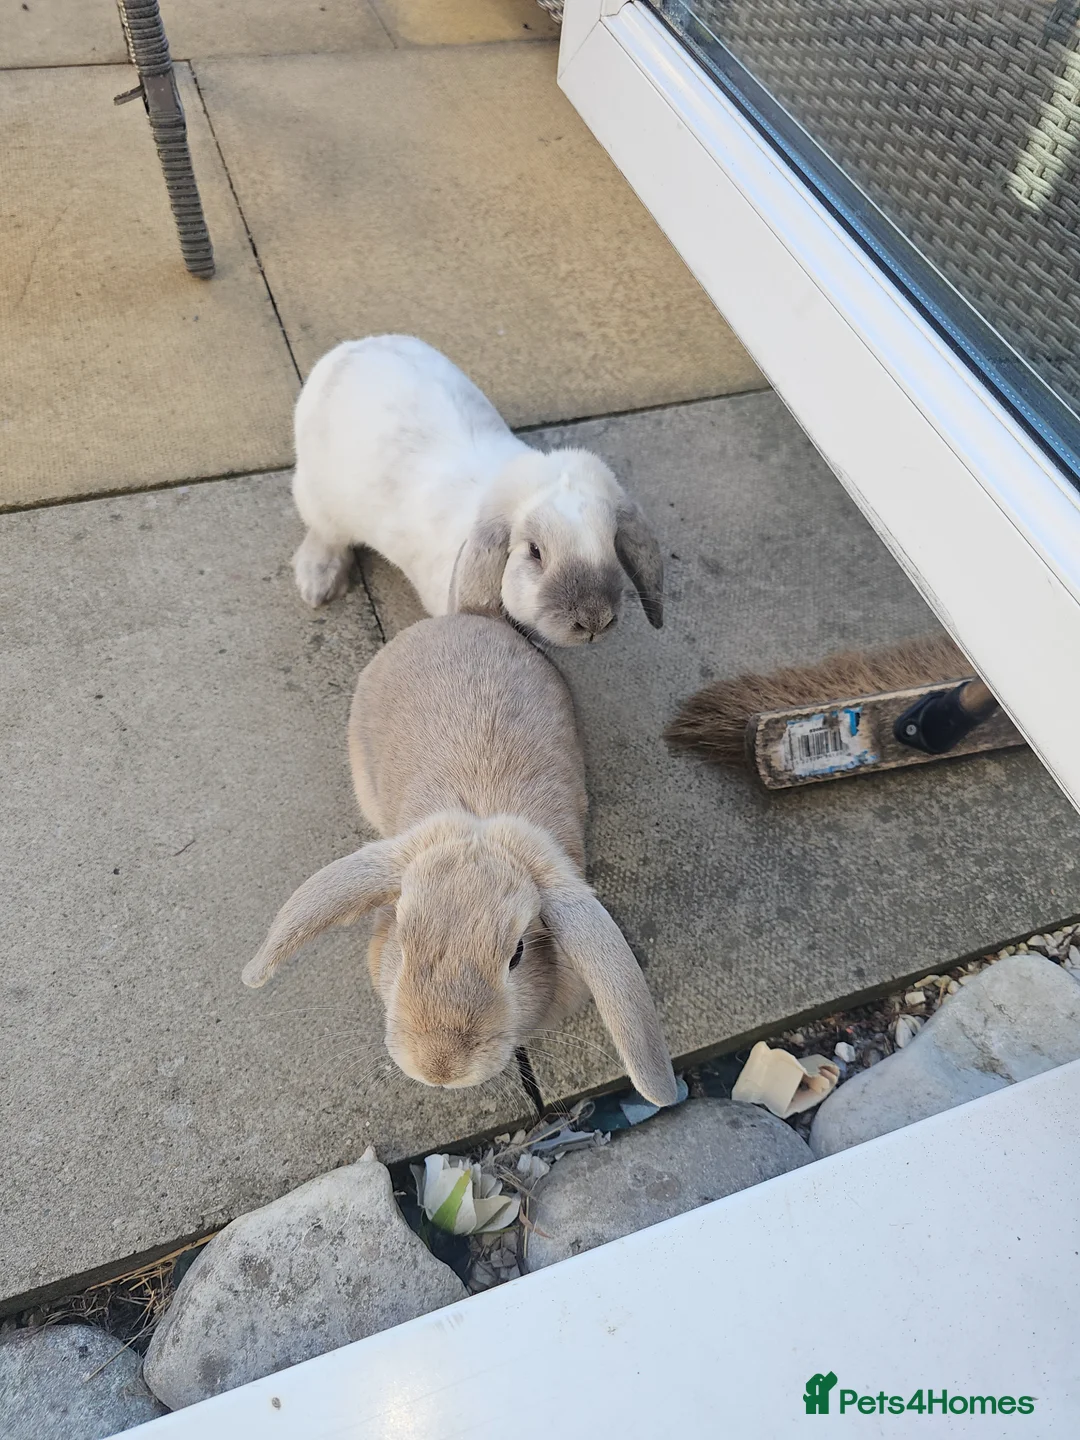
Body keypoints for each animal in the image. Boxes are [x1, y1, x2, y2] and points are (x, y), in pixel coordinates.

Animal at [291, 335, 664, 646]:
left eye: (612, 542)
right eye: (534, 552)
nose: (594, 621)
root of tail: (351, 348)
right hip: (317, 499)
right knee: (325, 535)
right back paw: (318, 584)